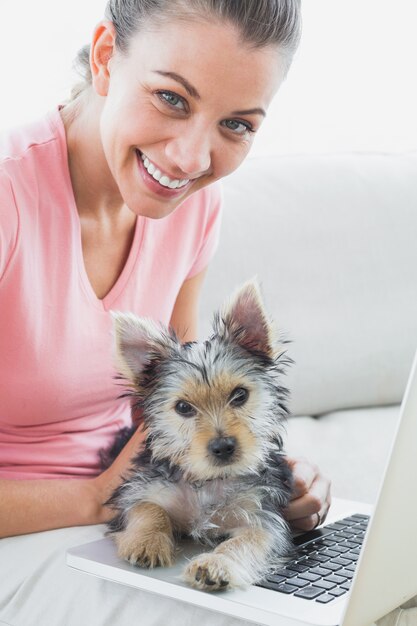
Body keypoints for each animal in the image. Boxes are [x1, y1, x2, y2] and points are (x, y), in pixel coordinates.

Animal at [103, 282, 292, 588]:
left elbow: (249, 539)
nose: (223, 446)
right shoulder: (139, 490)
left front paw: (216, 564)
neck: (209, 480)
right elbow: (147, 507)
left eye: (240, 395)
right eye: (183, 407)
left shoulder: (263, 516)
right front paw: (146, 543)